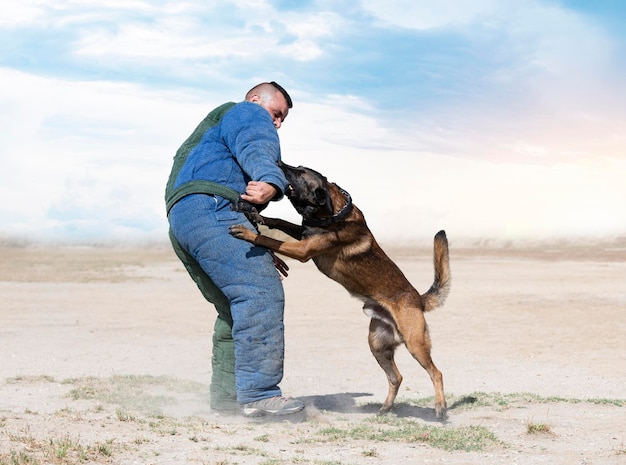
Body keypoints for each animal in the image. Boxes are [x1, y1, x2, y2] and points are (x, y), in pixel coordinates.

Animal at [229, 161, 448, 418]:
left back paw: (440, 408)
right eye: (298, 167)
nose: (279, 163)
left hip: (416, 344)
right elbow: (279, 221)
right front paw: (257, 215)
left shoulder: (302, 250)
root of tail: (418, 299)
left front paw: (248, 233)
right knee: (396, 377)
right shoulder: (303, 234)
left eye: (300, 173)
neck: (333, 213)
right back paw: (385, 408)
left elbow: (271, 240)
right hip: (377, 345)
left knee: (436, 372)